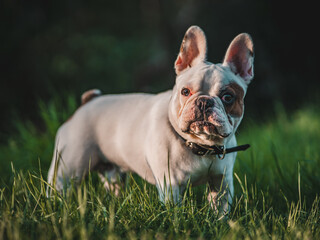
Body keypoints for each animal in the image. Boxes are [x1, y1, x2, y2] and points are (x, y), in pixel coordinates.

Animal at [47, 25, 254, 215]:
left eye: (228, 97)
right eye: (185, 92)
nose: (203, 101)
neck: (200, 146)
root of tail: (87, 102)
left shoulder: (222, 183)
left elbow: (220, 211)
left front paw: (219, 223)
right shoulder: (170, 186)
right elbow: (175, 212)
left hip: (114, 175)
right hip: (67, 167)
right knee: (59, 187)